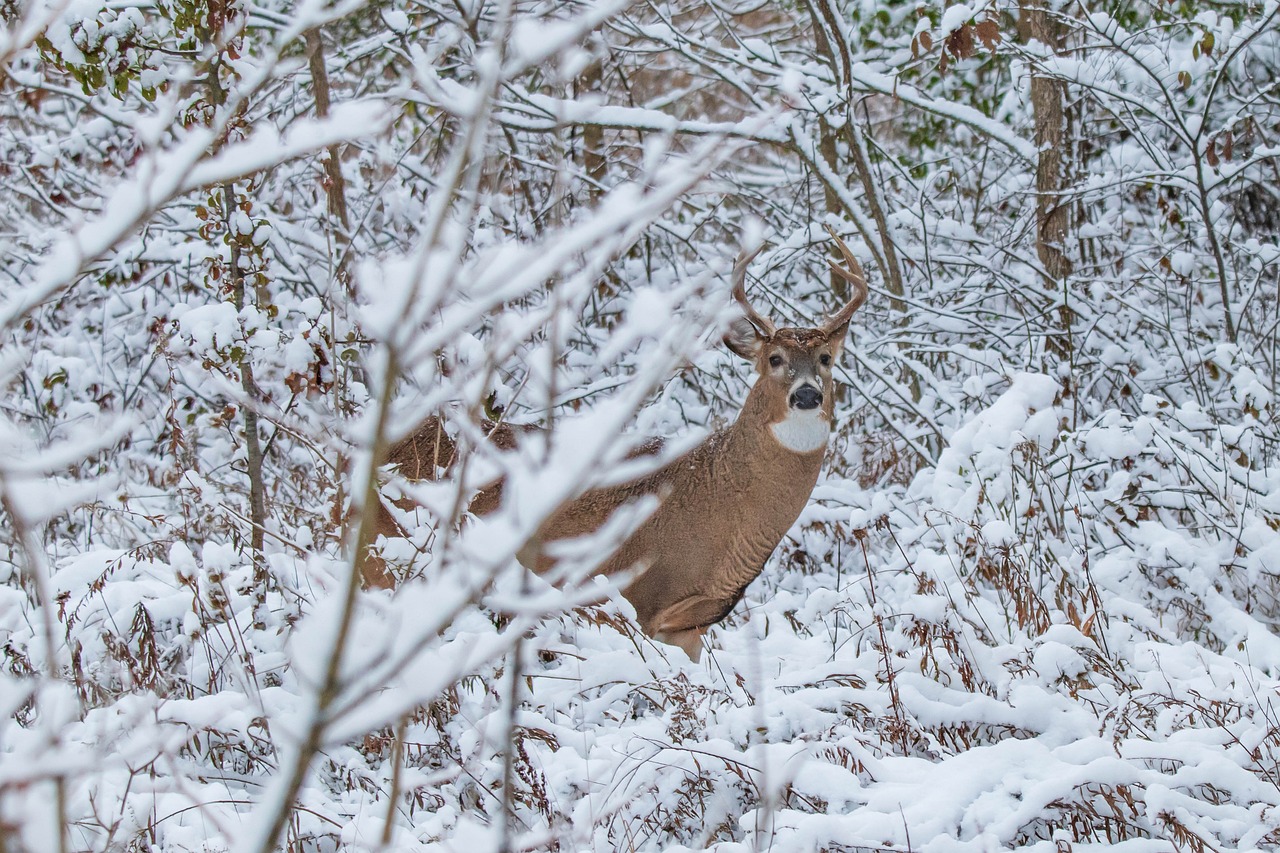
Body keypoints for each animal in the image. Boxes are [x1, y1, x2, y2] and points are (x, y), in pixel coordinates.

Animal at [363, 229, 869, 661]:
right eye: (775, 359)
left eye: (826, 359)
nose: (807, 394)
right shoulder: (635, 598)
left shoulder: (690, 627)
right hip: (384, 553)